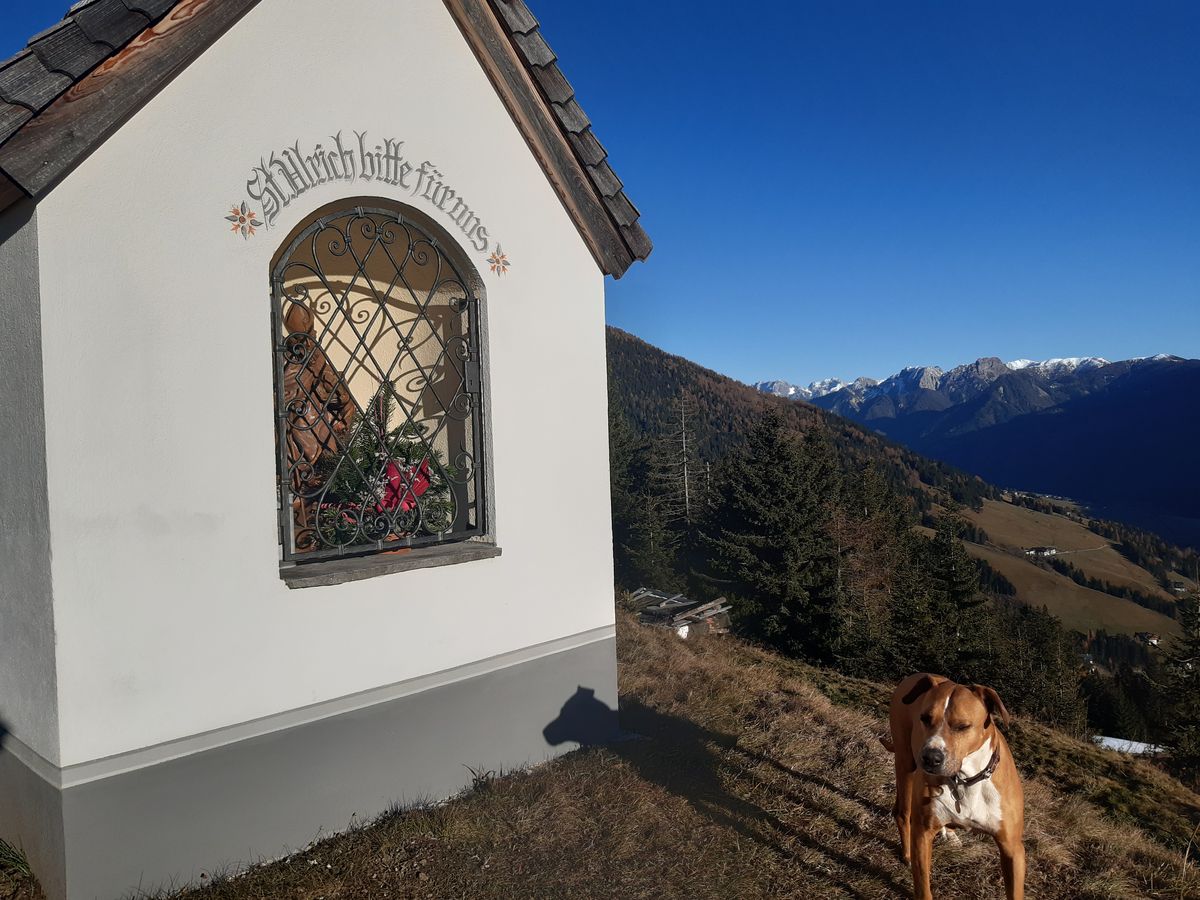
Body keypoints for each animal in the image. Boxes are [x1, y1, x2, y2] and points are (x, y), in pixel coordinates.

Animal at [880, 673, 1025, 900]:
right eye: (925, 718)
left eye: (962, 726)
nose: (931, 758)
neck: (965, 779)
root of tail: (915, 675)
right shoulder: (922, 835)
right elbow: (923, 888)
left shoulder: (1013, 849)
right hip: (906, 764)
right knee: (902, 812)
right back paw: (907, 853)